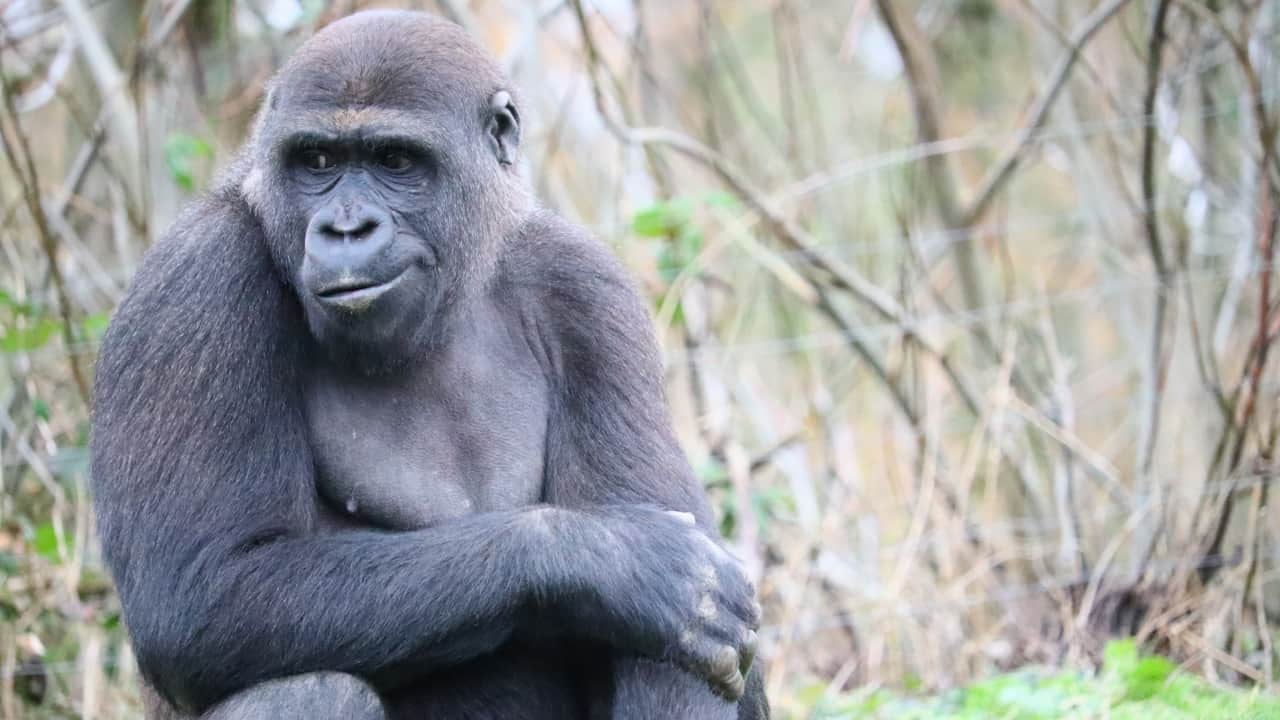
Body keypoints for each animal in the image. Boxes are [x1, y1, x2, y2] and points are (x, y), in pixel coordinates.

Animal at [92, 9, 768, 717]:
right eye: (318, 161)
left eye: (395, 160)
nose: (346, 228)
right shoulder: (195, 279)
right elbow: (201, 590)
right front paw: (621, 562)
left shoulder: (589, 290)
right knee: (315, 687)